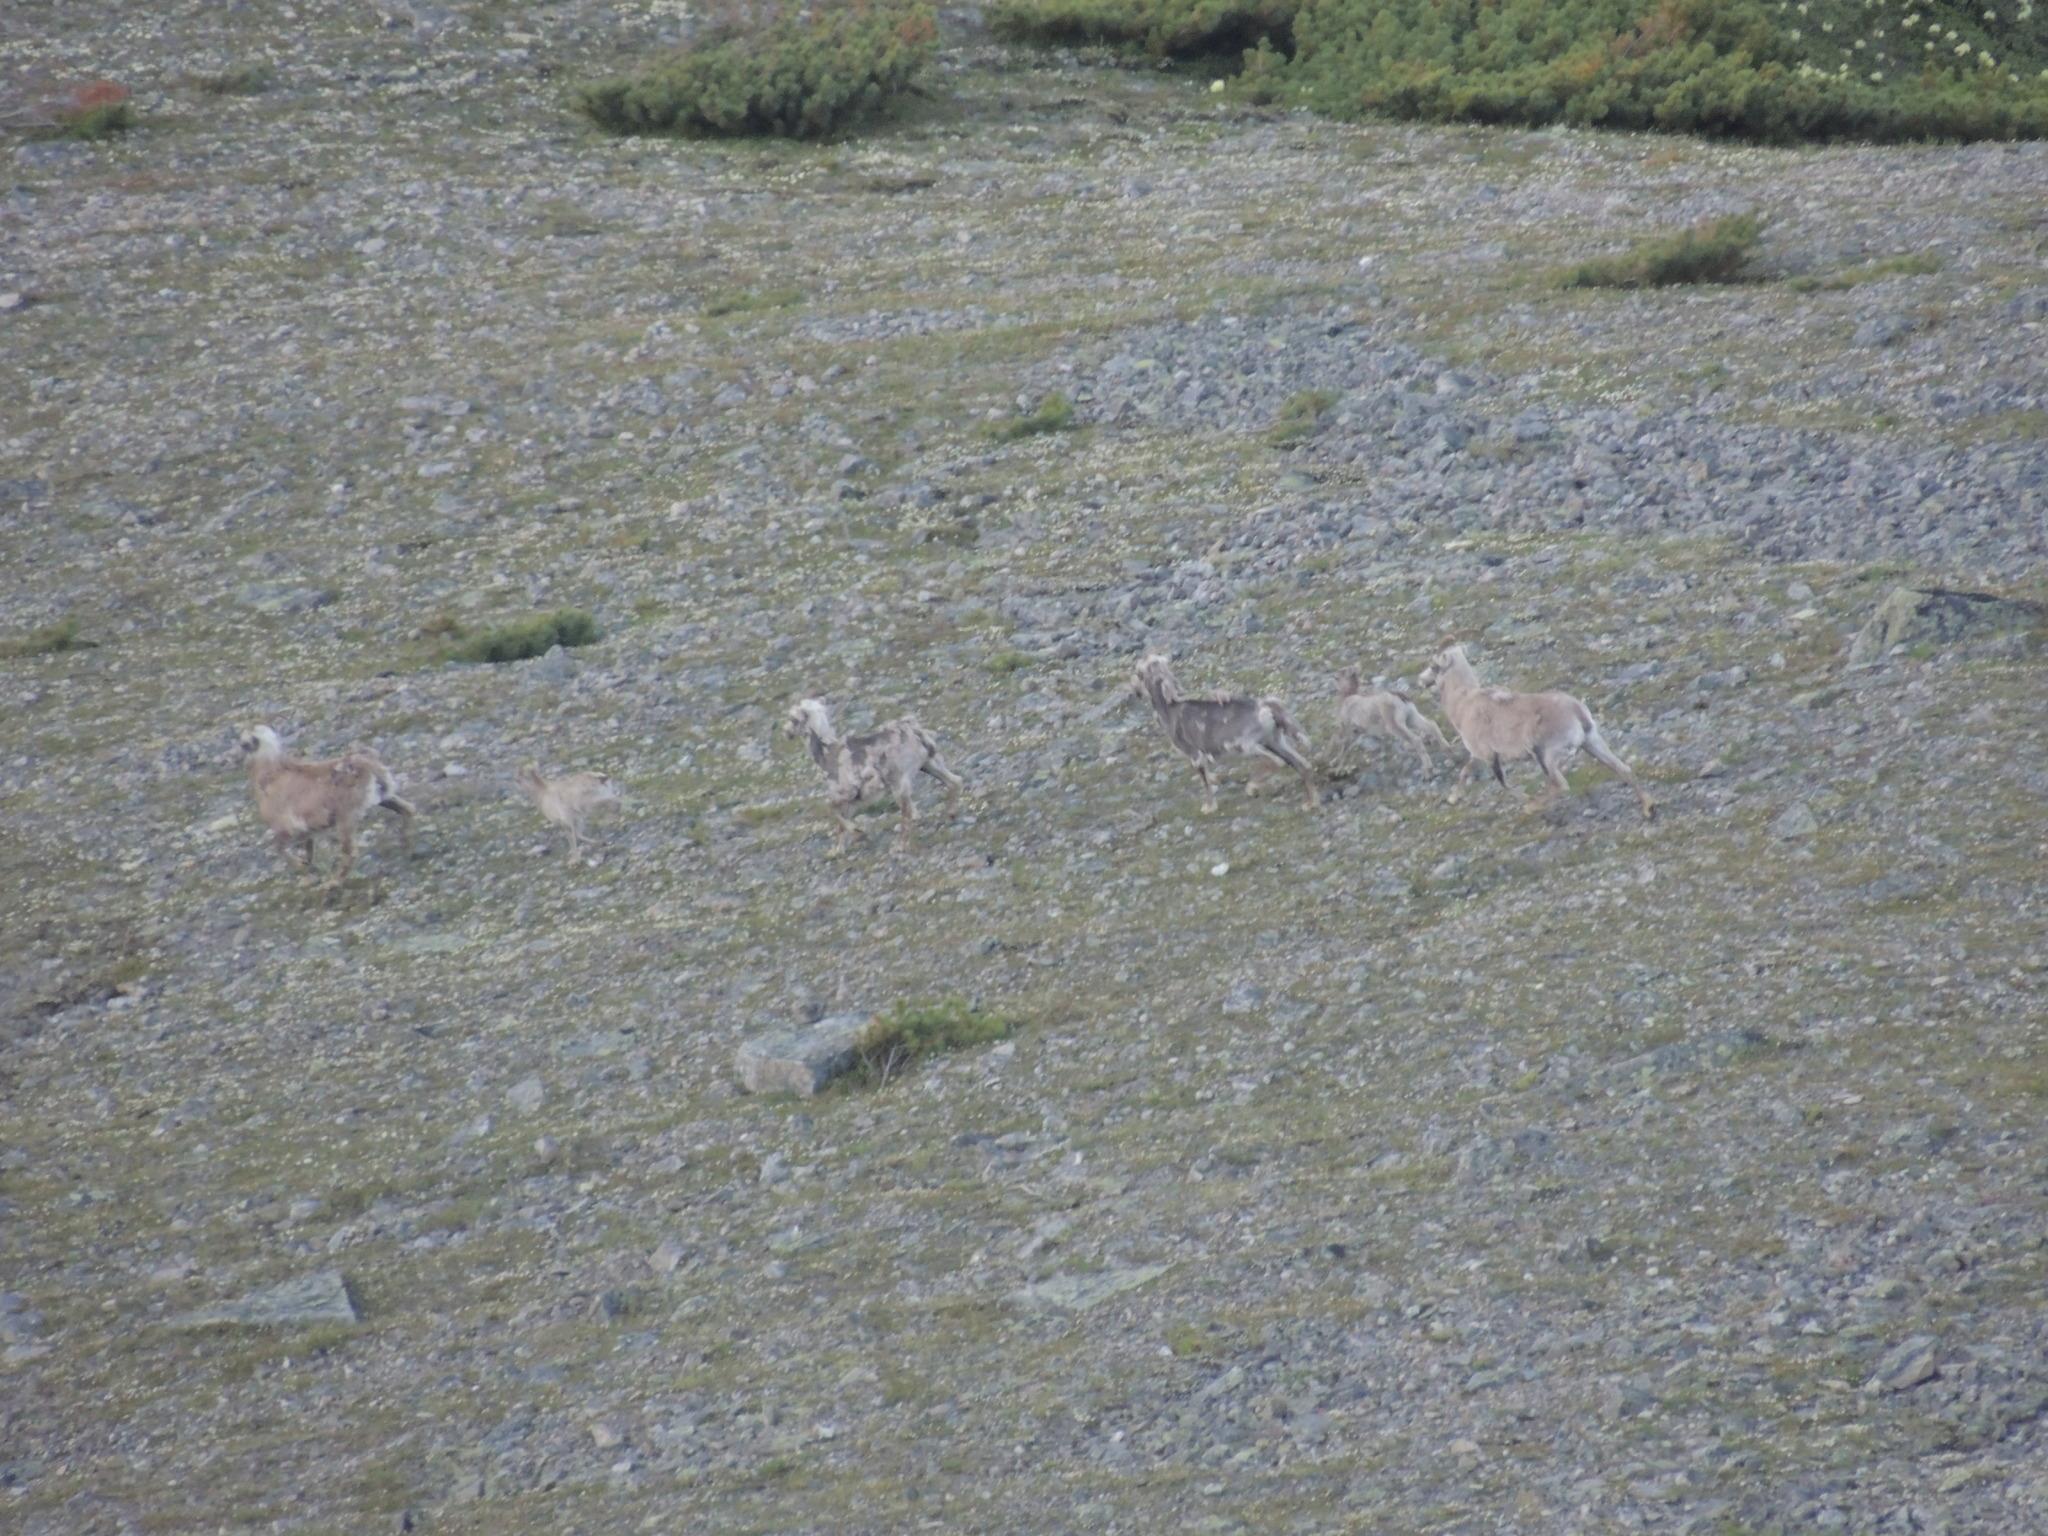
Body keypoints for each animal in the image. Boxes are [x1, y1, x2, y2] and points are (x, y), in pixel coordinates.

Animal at [237, 725, 416, 888]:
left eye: (244, 743)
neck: (269, 775)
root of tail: (367, 765)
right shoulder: (305, 830)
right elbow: (307, 847)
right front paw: (307, 864)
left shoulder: (286, 828)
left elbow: (279, 848)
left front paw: (301, 866)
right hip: (384, 797)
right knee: (408, 809)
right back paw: (407, 846)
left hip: (346, 819)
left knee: (350, 852)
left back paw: (333, 883)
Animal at [785, 698, 964, 855]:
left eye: (794, 719)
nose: (786, 733)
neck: (827, 753)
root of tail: (915, 732)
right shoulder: (850, 801)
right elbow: (840, 823)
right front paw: (837, 851)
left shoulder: (846, 794)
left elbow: (833, 811)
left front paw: (859, 832)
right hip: (929, 765)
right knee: (955, 781)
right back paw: (952, 814)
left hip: (900, 784)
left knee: (906, 814)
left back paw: (899, 847)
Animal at [1127, 653, 1316, 814]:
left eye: (1139, 673)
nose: (1135, 691)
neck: (1170, 710)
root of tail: (1265, 707)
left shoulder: (1194, 754)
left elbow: (1205, 782)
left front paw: (1209, 807)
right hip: (1275, 741)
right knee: (1302, 764)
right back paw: (1310, 803)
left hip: (1247, 746)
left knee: (1277, 762)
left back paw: (1252, 787)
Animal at [1417, 641, 1655, 820]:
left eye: (1434, 665)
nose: (1421, 680)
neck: (1464, 702)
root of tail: (1576, 711)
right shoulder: (1481, 756)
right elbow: (1469, 773)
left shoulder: (1487, 755)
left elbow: (1500, 783)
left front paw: (1526, 802)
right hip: (1592, 742)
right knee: (1623, 769)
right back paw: (1648, 808)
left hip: (1546, 757)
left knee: (1560, 786)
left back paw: (1533, 807)